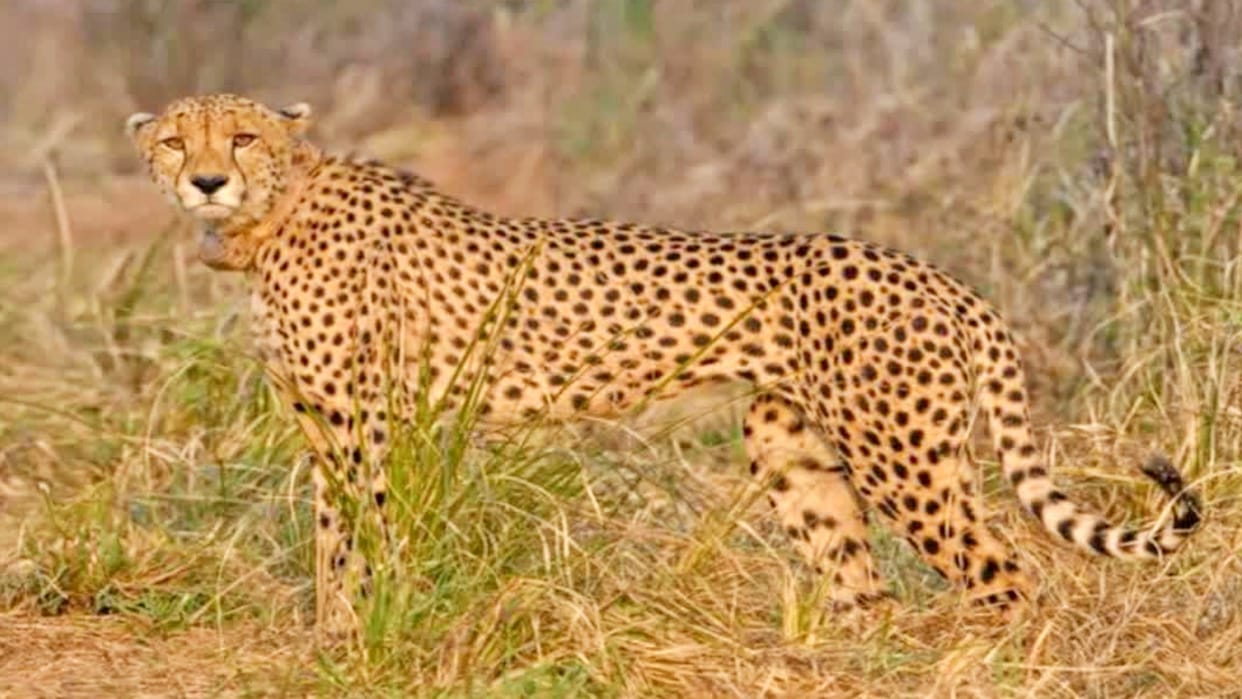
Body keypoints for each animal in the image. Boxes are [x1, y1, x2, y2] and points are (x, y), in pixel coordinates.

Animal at [126, 93, 1202, 639]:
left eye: (243, 136)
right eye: (177, 139)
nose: (205, 178)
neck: (271, 212)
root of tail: (932, 272)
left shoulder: (360, 419)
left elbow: (361, 533)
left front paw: (365, 632)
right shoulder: (321, 417)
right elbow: (328, 539)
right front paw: (335, 637)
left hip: (905, 456)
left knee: (1006, 575)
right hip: (789, 445)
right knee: (869, 588)